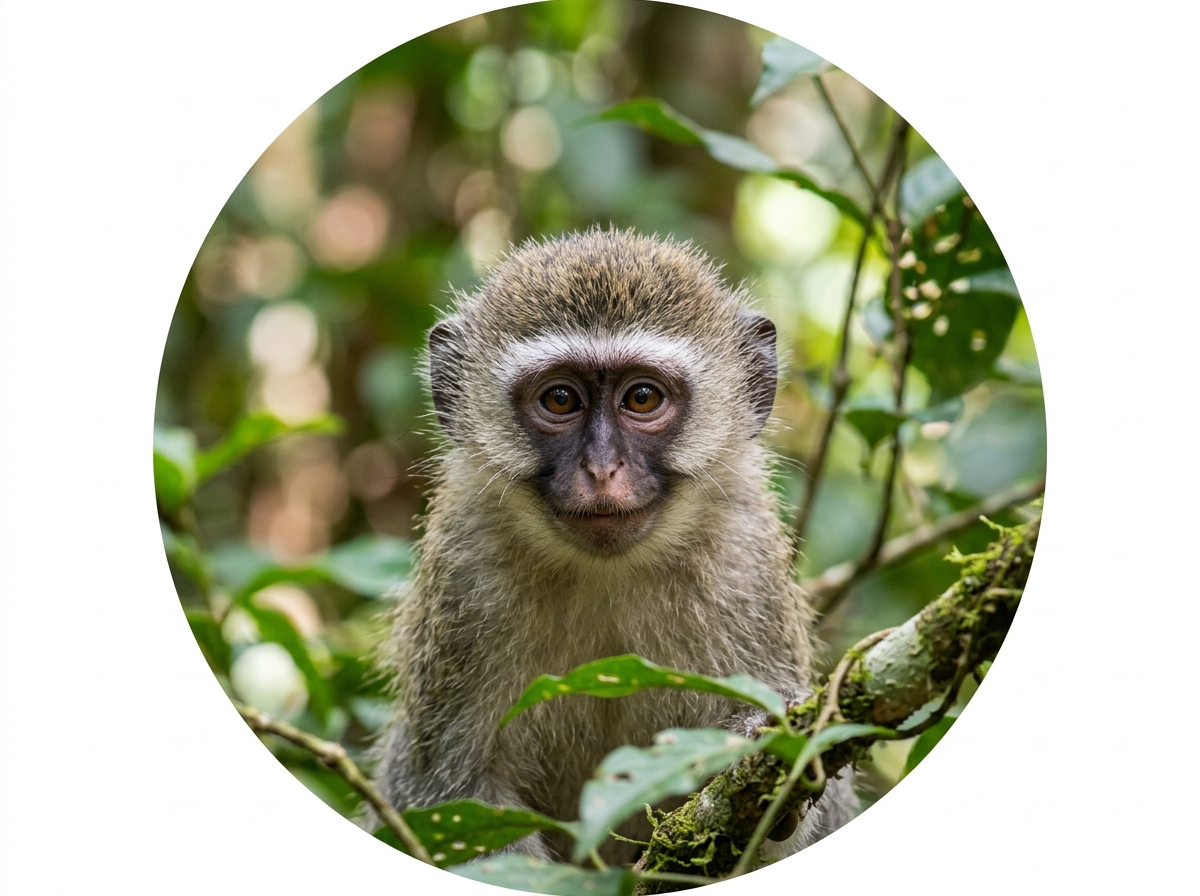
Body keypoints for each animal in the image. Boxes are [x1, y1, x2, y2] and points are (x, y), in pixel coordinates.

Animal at [369, 228, 856, 866]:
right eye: (560, 400)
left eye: (642, 398)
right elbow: (446, 795)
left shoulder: (744, 565)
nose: (602, 469)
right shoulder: (464, 576)